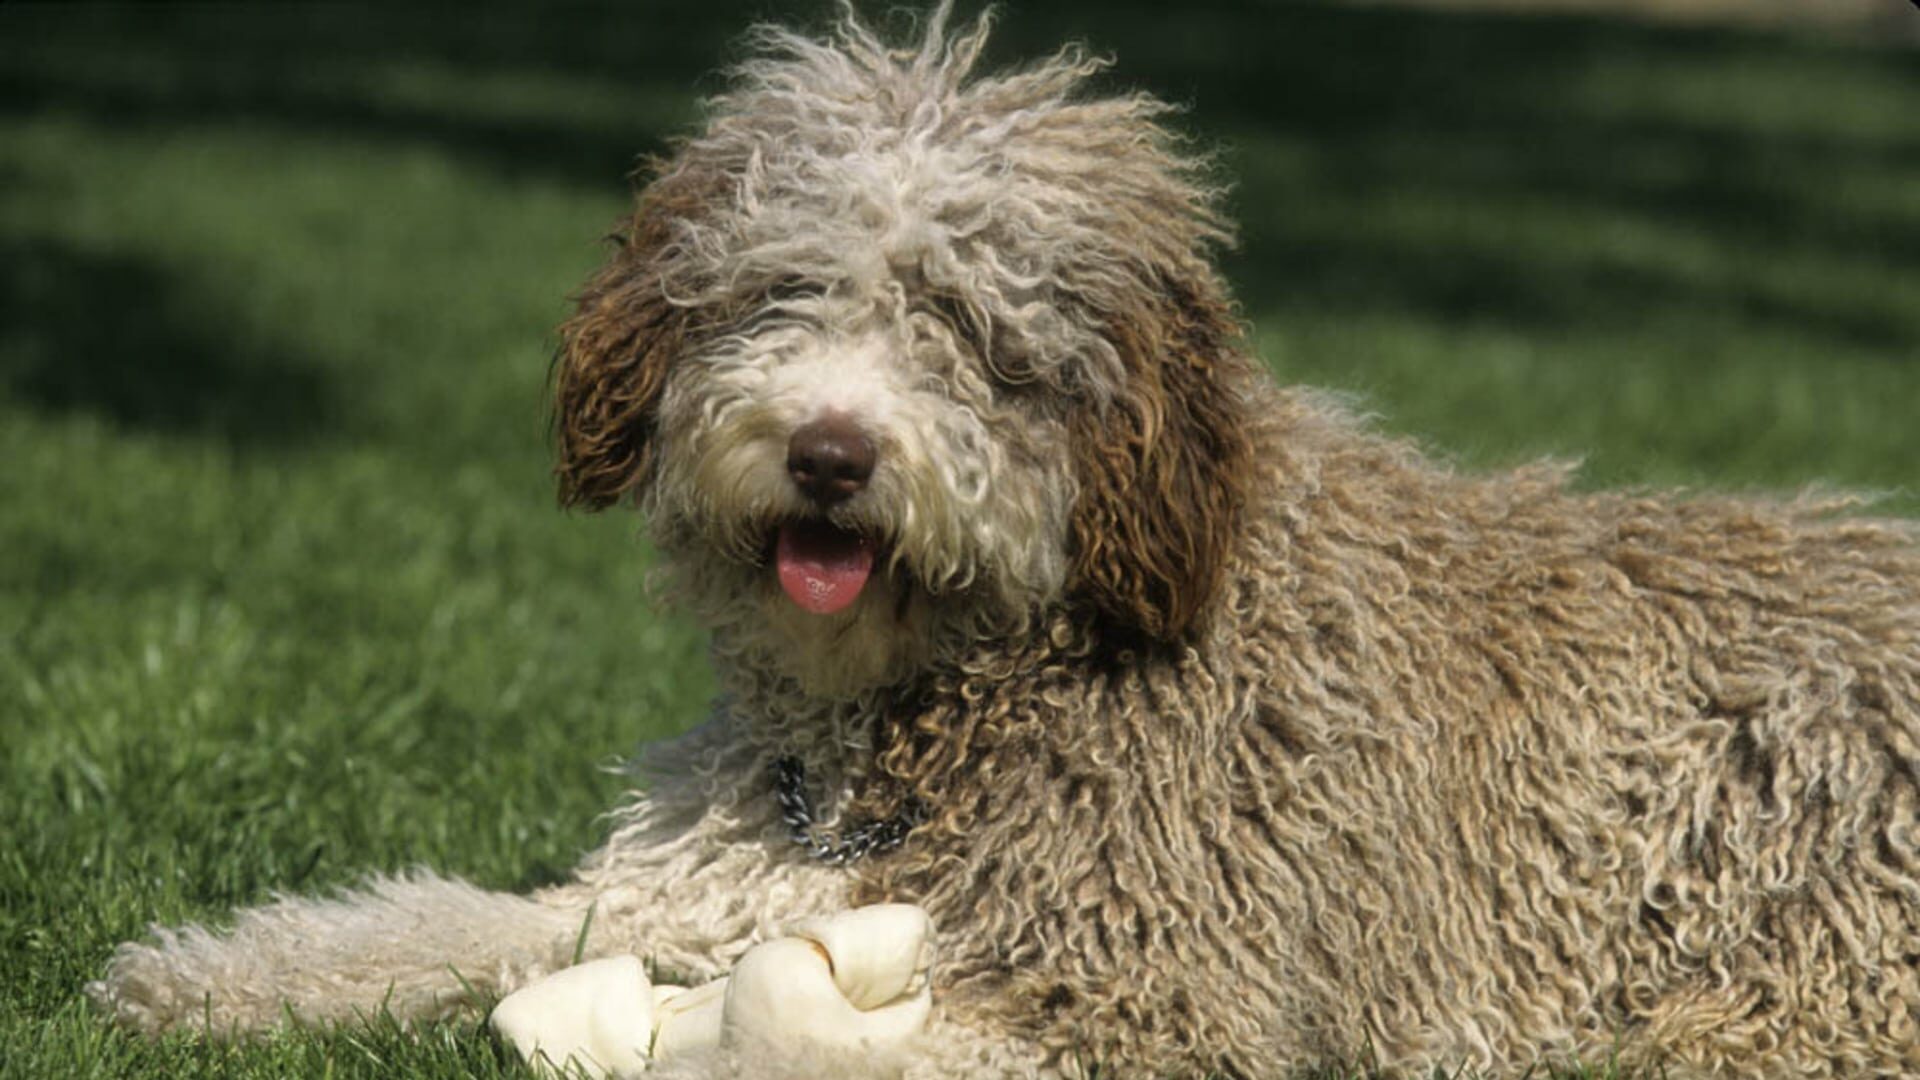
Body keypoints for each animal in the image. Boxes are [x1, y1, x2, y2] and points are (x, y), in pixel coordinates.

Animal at [93, 8, 1920, 1076]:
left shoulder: (1159, 998)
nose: (830, 453)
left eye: (973, 332)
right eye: (781, 290)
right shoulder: (697, 881)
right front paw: (209, 980)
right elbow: (458, 923)